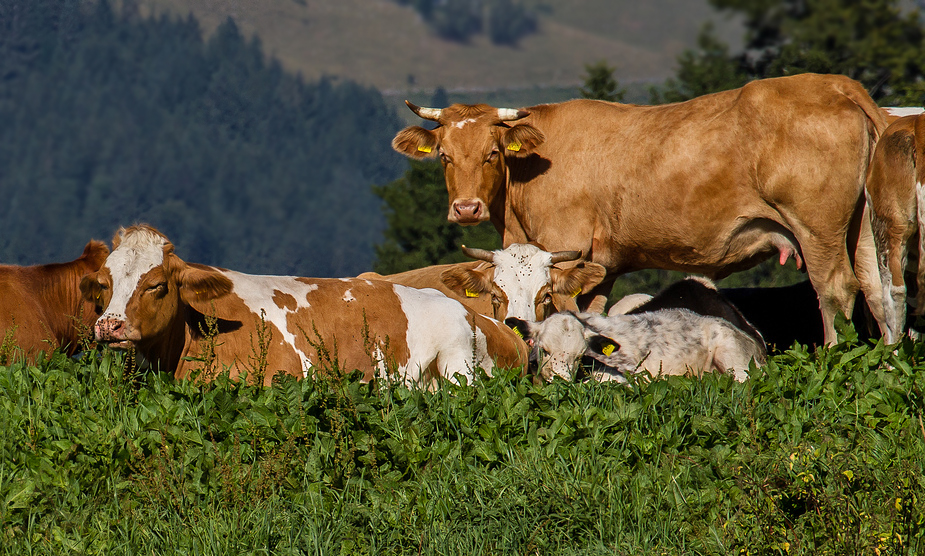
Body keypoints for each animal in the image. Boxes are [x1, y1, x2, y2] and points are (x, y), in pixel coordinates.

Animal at [394, 72, 892, 346]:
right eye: (444, 156)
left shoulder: (562, 249)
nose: (466, 208)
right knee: (878, 291)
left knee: (835, 290)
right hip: (864, 229)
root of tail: (834, 84)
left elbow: (559, 312)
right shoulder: (601, 267)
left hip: (818, 229)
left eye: (492, 153)